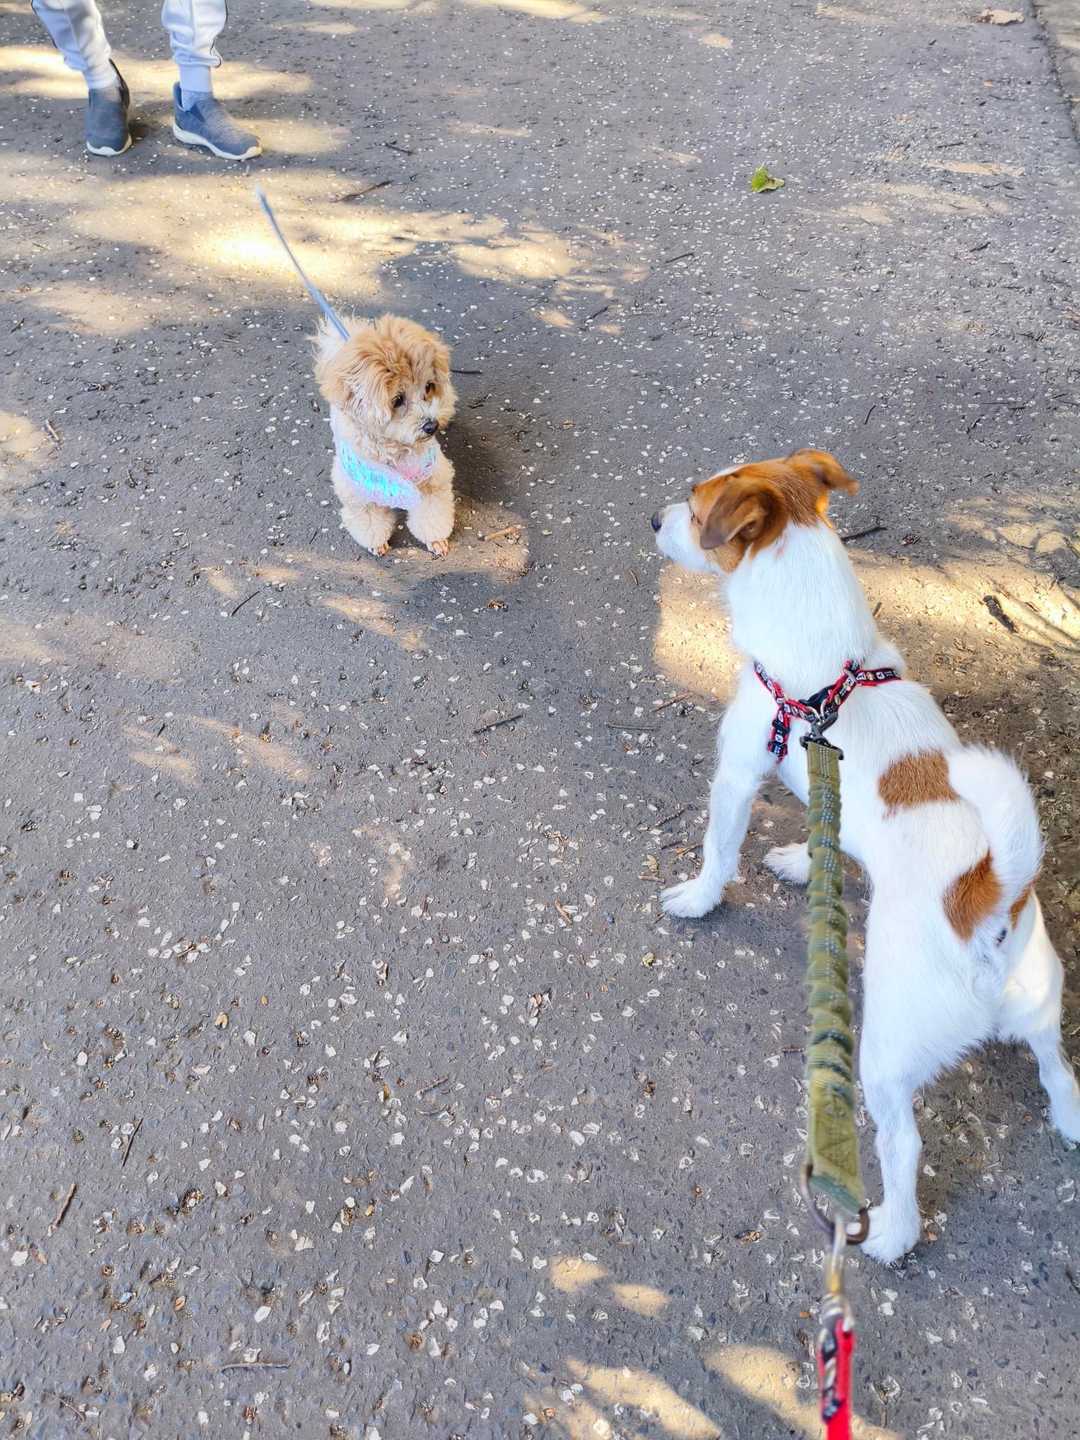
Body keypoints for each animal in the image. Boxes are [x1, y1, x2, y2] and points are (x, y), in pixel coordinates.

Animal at [314, 314, 457, 557]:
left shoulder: (431, 479)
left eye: (428, 386)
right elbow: (370, 521)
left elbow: (432, 513)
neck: (395, 448)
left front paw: (436, 539)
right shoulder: (360, 493)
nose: (432, 426)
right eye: (397, 400)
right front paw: (376, 542)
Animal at [651, 448, 1080, 1263]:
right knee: (1061, 1069)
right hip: (1041, 1004)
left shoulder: (739, 772)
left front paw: (699, 897)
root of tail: (986, 905)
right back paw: (1071, 1117)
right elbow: (830, 847)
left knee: (904, 1147)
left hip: (882, 1056)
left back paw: (886, 1235)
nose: (652, 518)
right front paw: (800, 862)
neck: (827, 666)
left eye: (693, 510)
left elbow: (719, 851)